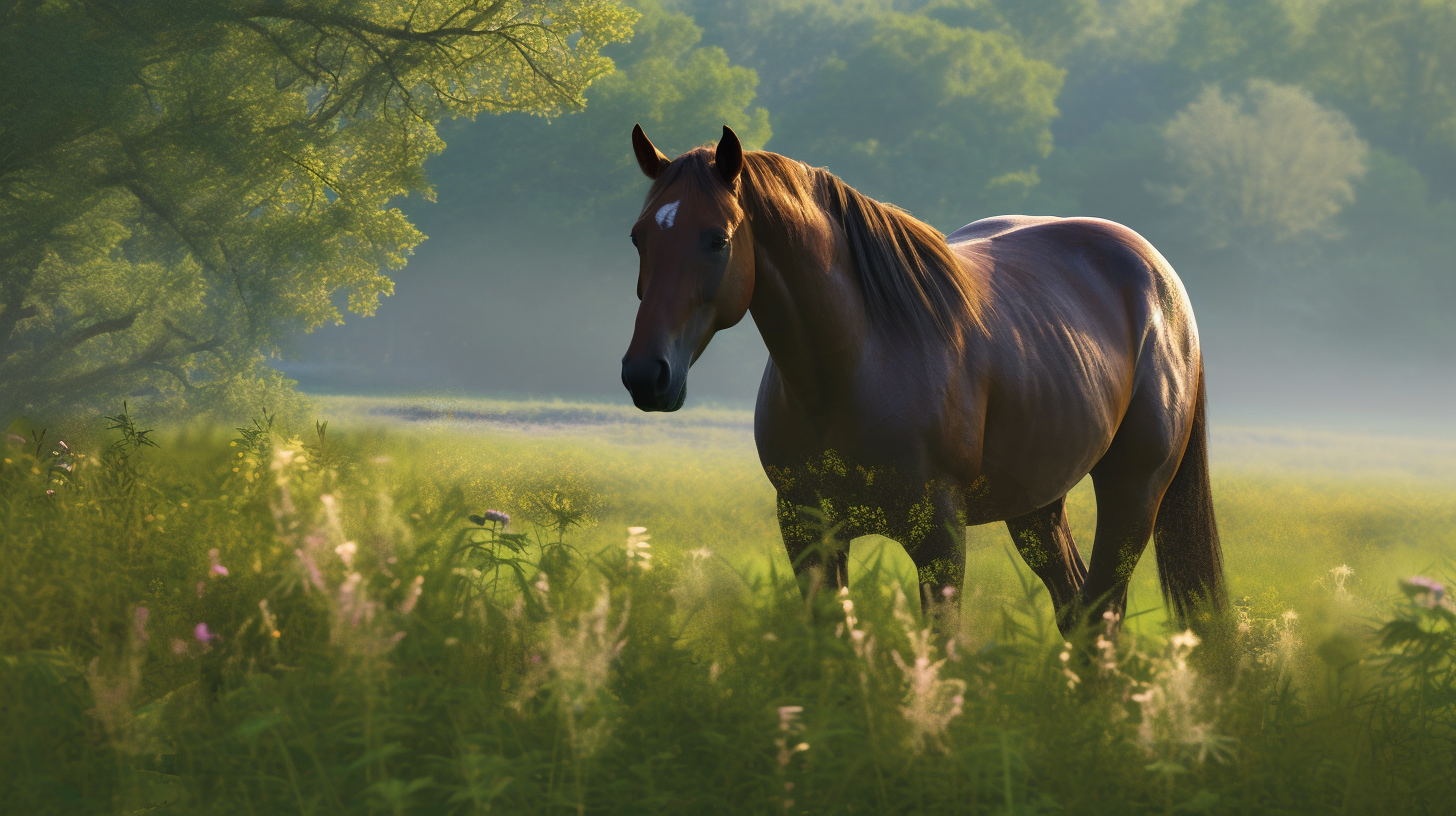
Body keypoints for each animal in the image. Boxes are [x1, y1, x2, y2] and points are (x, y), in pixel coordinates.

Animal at [620, 124, 1223, 632]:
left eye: (718, 239)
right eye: (638, 238)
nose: (646, 374)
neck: (853, 367)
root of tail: (1163, 282)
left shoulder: (939, 540)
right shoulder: (808, 533)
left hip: (1133, 494)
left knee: (1102, 616)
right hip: (1038, 505)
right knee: (1076, 610)